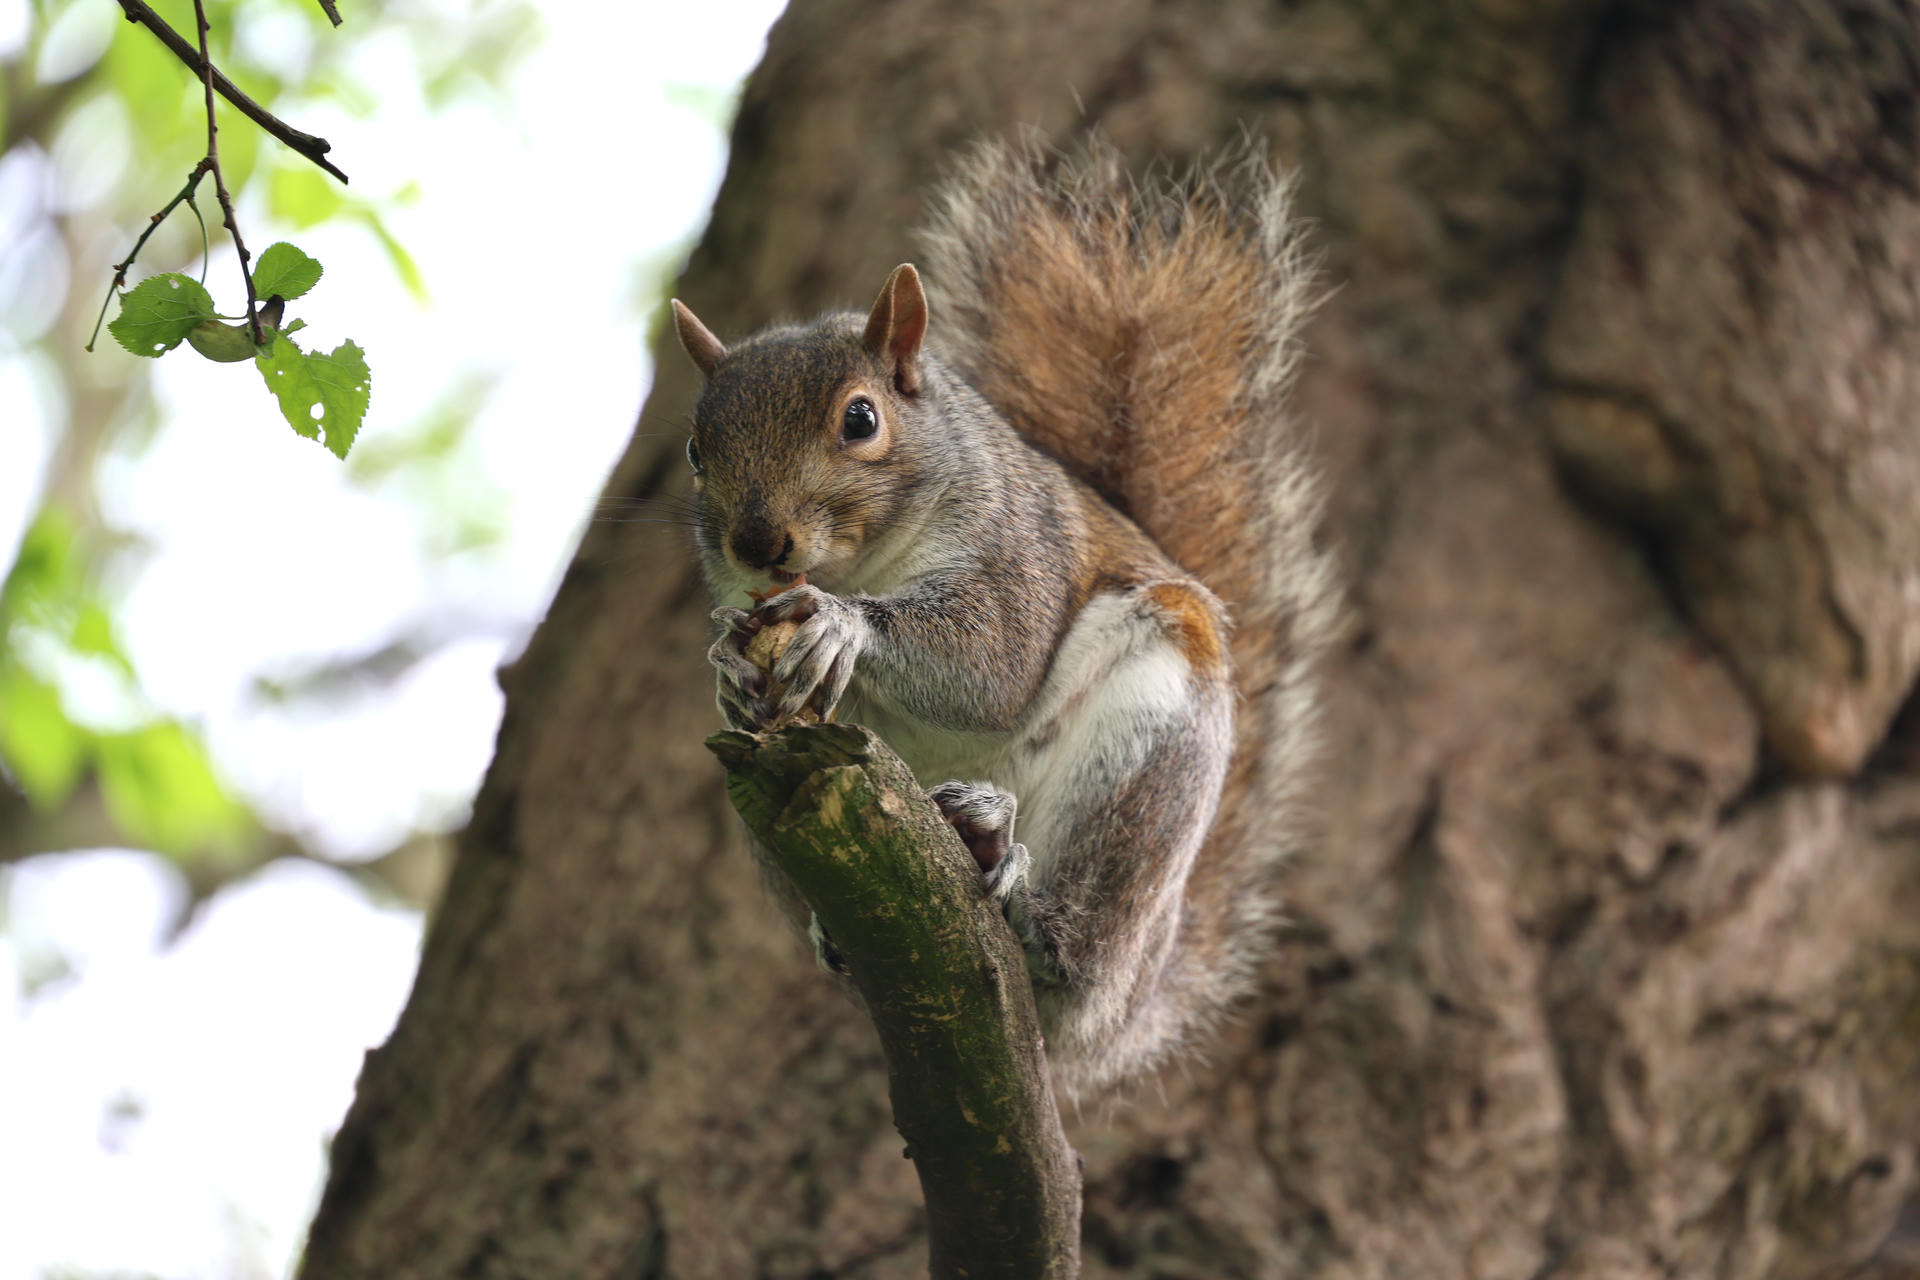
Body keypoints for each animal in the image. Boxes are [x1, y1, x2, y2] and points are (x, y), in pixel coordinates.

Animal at [670, 136, 1338, 1101]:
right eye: (695, 449)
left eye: (861, 419)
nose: (758, 543)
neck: (863, 562)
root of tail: (1119, 1020)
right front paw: (729, 669)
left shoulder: (1020, 548)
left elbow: (994, 662)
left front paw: (840, 625)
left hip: (1148, 758)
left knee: (1080, 955)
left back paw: (1018, 888)